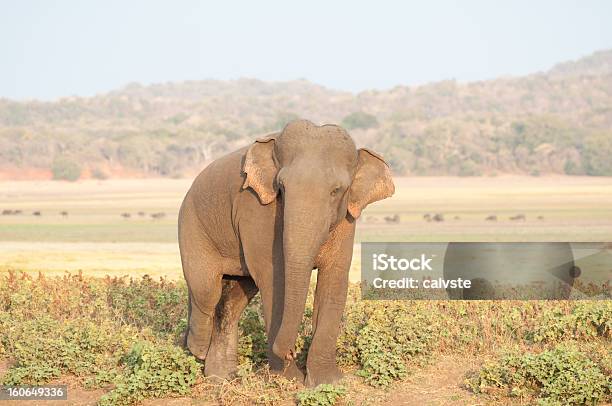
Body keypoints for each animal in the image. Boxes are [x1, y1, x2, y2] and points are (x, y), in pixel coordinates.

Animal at [179, 119, 394, 386]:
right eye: (281, 187)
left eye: (336, 190)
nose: (291, 351)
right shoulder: (255, 206)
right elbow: (273, 278)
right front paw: (289, 379)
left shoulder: (348, 217)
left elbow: (334, 279)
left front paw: (327, 382)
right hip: (192, 226)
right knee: (207, 289)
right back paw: (196, 348)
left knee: (233, 299)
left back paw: (220, 378)